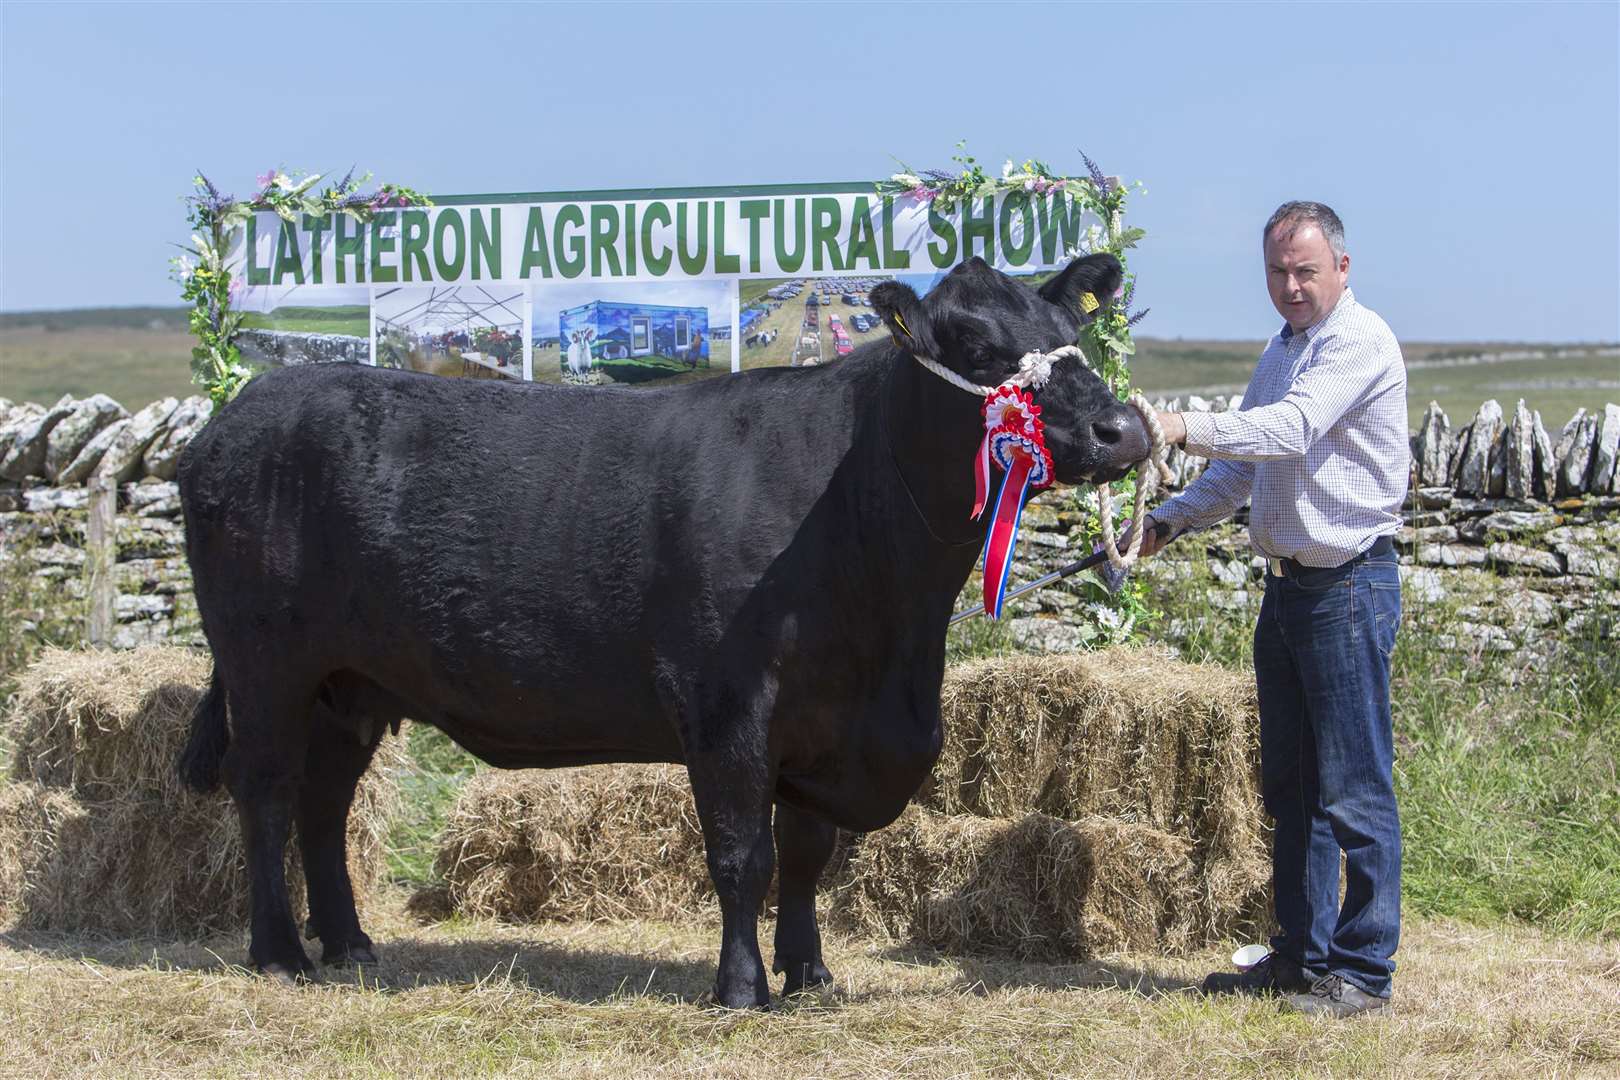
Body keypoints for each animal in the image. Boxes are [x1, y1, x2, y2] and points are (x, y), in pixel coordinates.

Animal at [177, 250, 1146, 1003]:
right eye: (978, 347)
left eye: (1075, 328)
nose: (1123, 428)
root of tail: (234, 415)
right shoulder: (725, 697)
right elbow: (743, 853)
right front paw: (743, 987)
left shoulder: (824, 718)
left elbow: (807, 854)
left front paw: (812, 974)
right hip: (265, 664)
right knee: (265, 791)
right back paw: (281, 954)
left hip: (352, 685)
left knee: (323, 802)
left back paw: (349, 944)